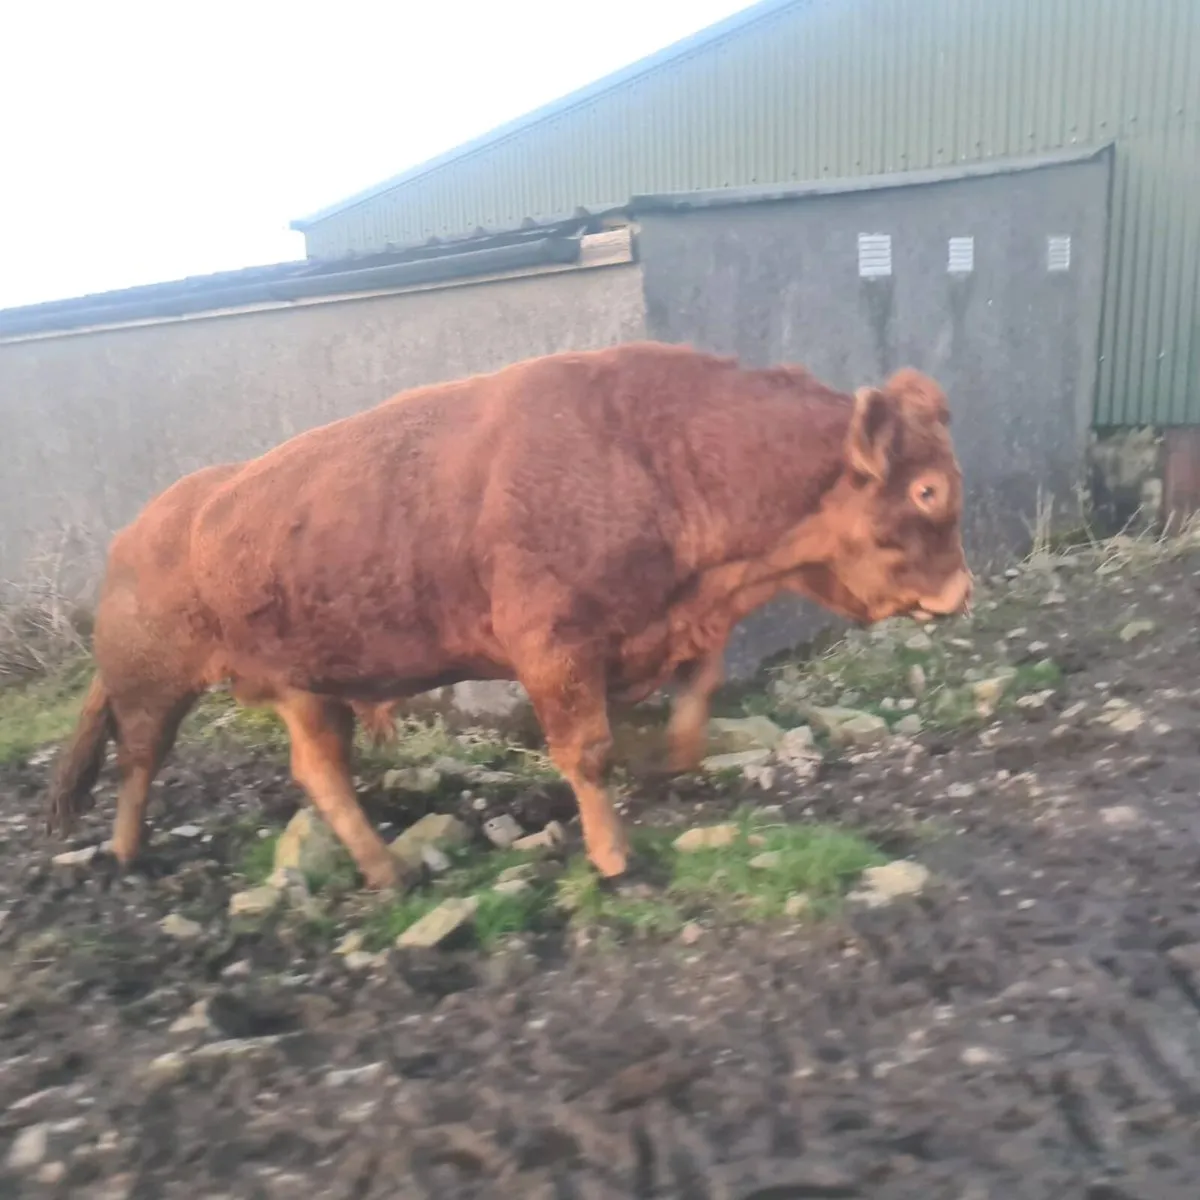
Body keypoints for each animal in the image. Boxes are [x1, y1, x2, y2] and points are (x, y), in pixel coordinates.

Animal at [46, 341, 971, 891]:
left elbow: (699, 691)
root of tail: (142, 527)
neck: (653, 453)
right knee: (139, 761)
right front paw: (614, 858)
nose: (959, 593)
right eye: (927, 490)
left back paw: (387, 870)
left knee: (319, 771)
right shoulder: (556, 651)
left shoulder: (673, 622)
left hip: (308, 691)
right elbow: (586, 751)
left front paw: (666, 760)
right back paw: (128, 854)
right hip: (157, 687)